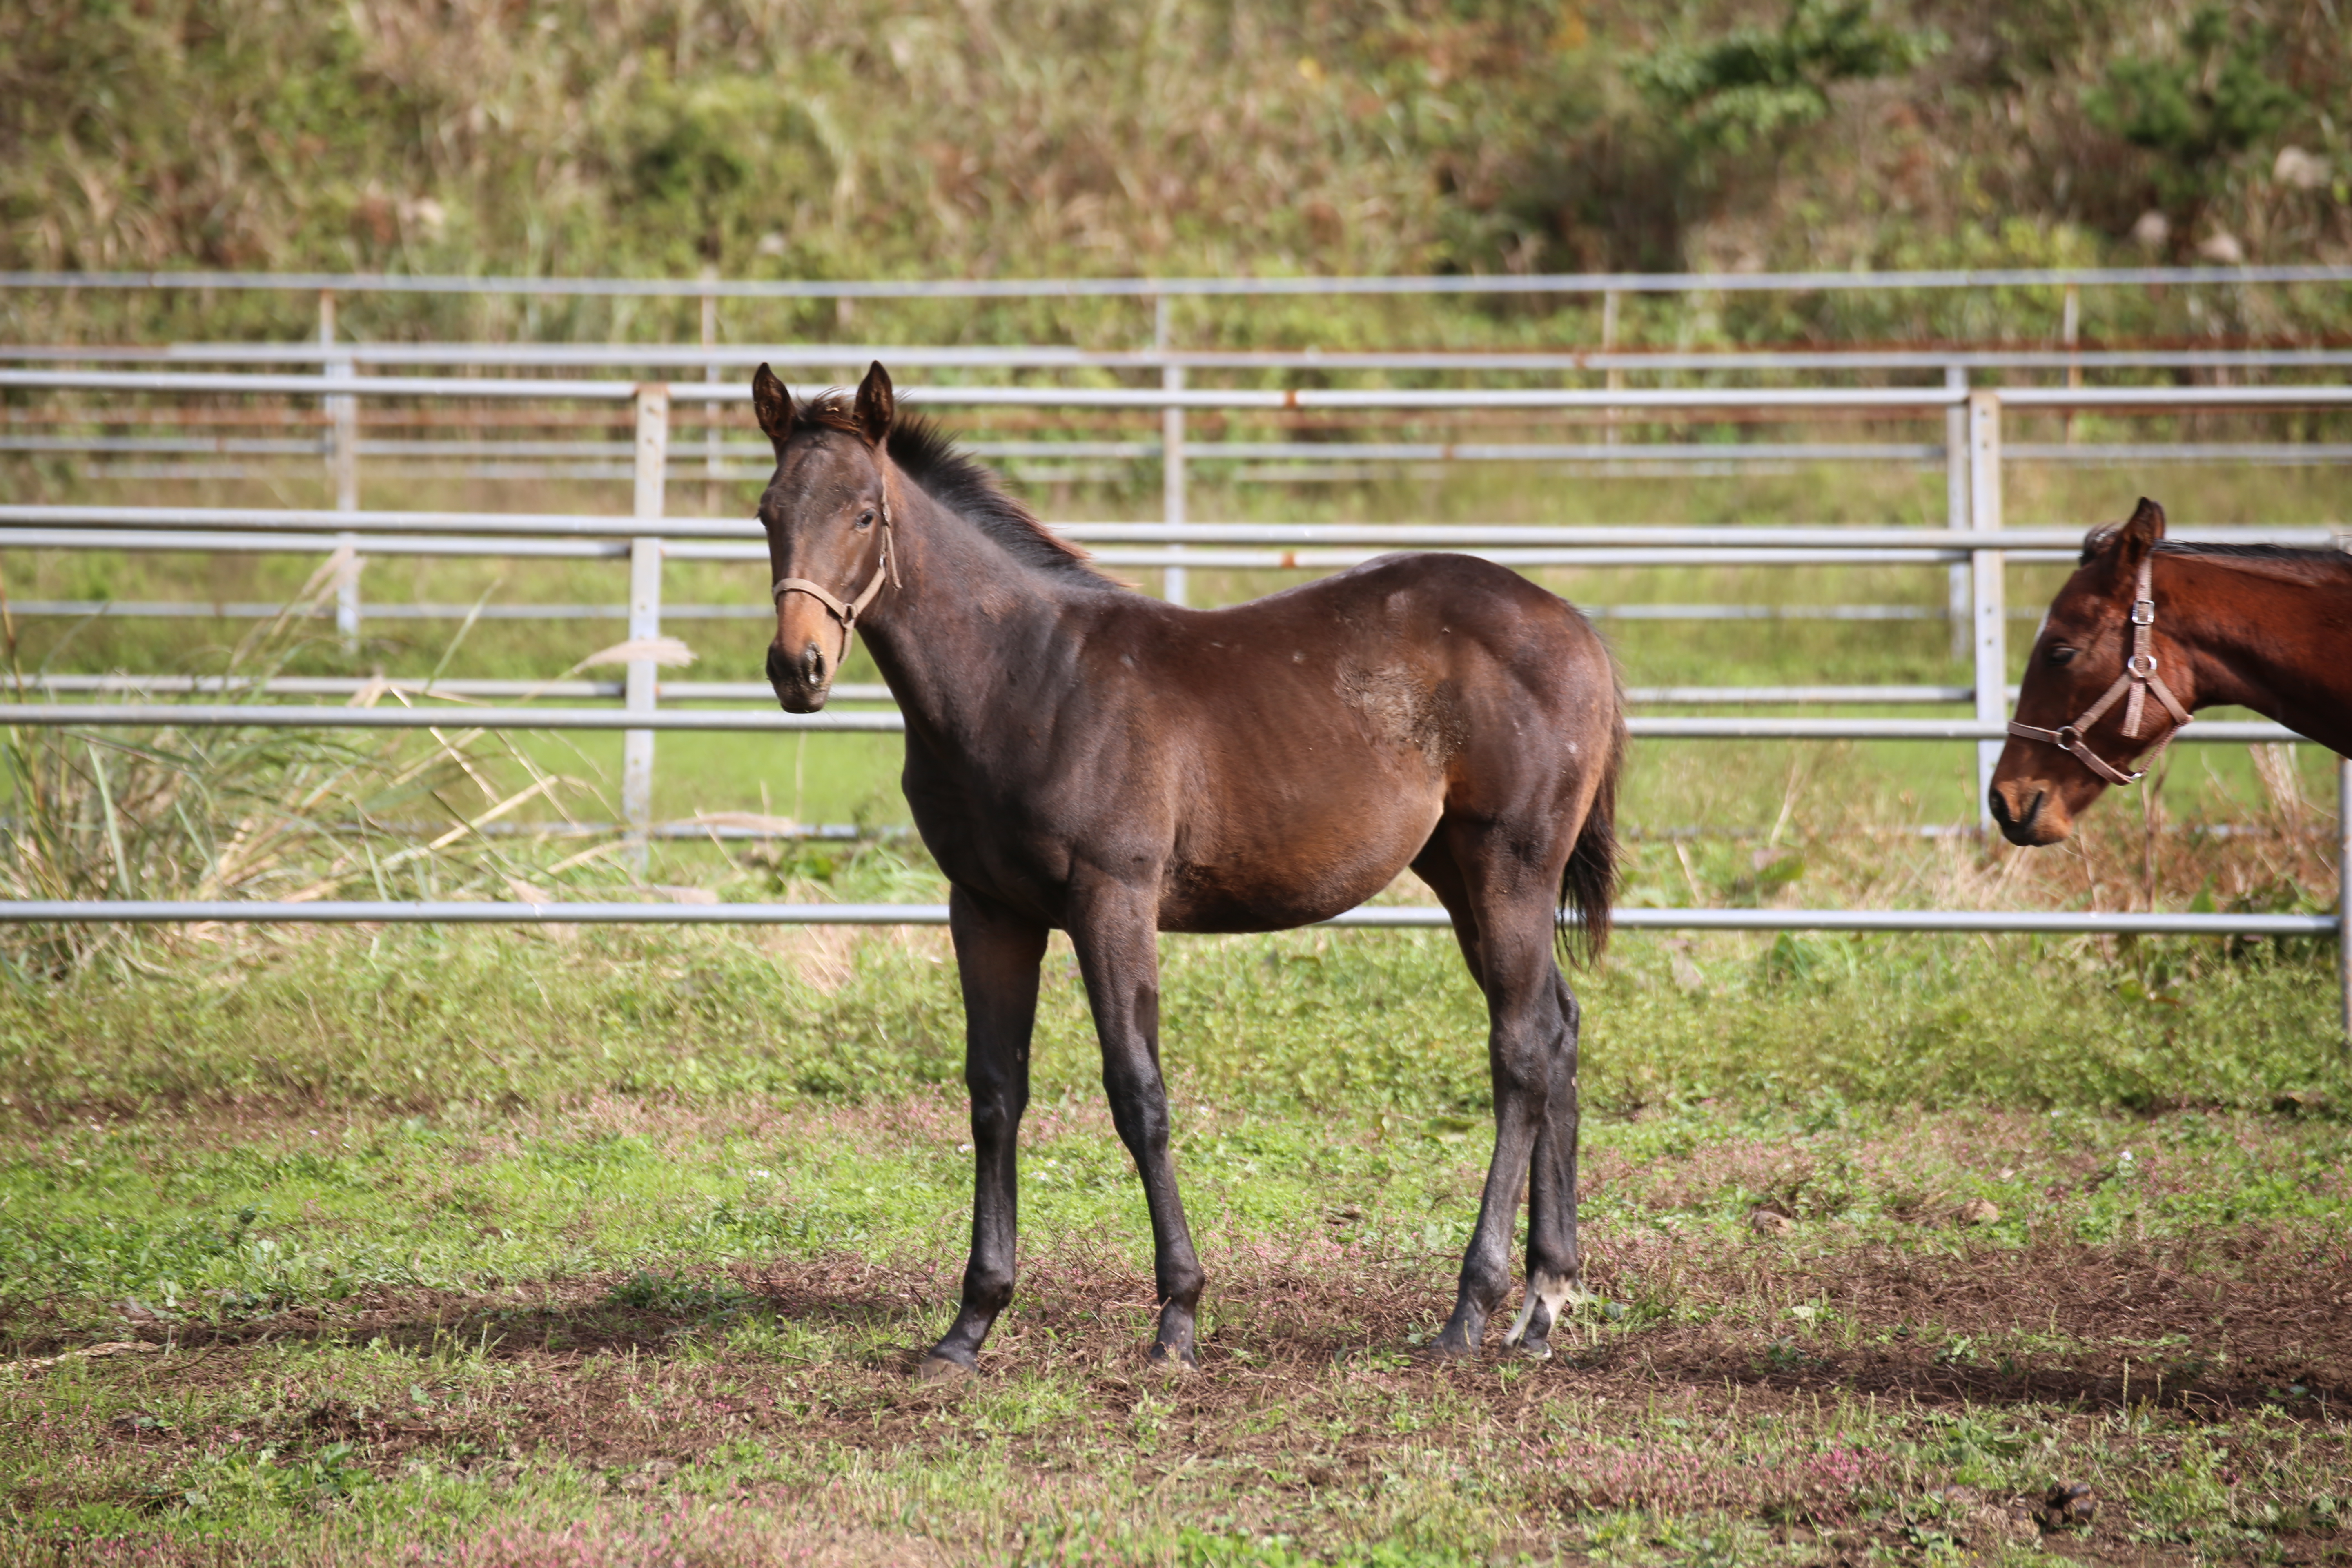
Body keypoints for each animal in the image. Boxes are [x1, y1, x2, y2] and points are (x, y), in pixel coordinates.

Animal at [757, 362, 1637, 1363]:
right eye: (767, 511)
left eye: (865, 513)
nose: (798, 667)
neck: (1023, 677)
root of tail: (1573, 625)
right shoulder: (986, 908)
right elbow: (994, 1094)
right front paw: (970, 1324)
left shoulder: (1113, 898)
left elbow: (1137, 1092)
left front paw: (1178, 1314)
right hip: (1459, 874)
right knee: (1557, 1026)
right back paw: (1543, 1300)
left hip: (1509, 863)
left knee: (1521, 1050)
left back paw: (1471, 1310)